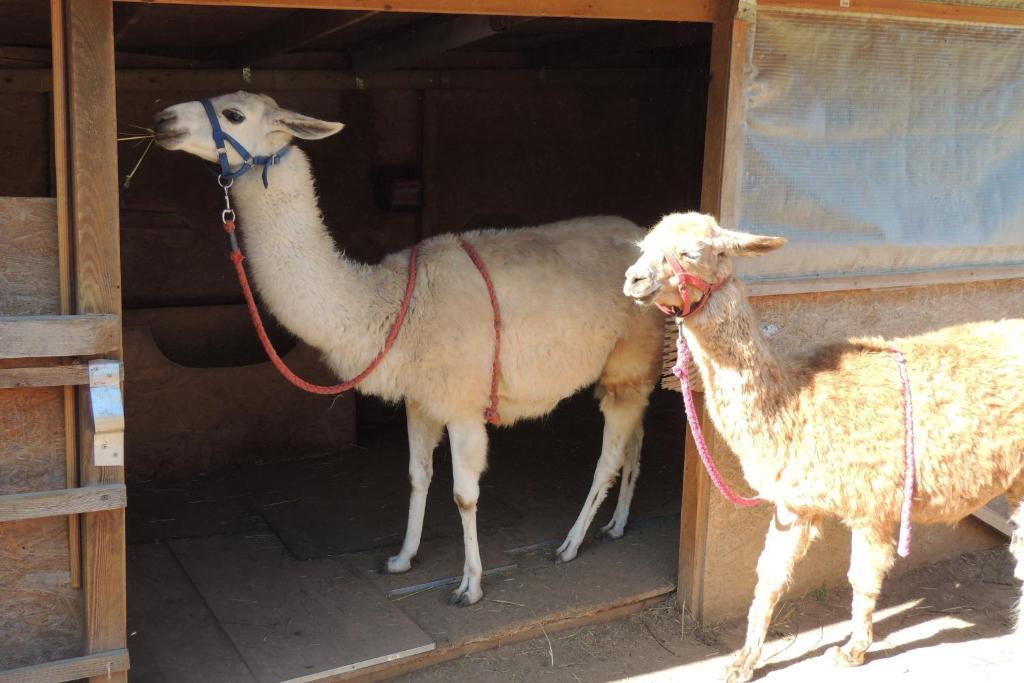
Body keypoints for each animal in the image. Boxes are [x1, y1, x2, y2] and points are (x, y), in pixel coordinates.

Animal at [152, 91, 663, 606]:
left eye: (234, 115)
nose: (162, 120)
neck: (393, 300)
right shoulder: (421, 398)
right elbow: (418, 476)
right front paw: (402, 558)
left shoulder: (462, 402)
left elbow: (464, 495)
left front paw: (470, 586)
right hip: (627, 370)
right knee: (635, 438)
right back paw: (615, 526)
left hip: (629, 359)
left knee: (607, 458)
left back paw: (570, 544)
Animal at [623, 212, 1024, 681]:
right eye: (645, 246)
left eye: (691, 252)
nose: (633, 279)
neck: (797, 402)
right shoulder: (794, 502)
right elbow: (769, 577)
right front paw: (743, 661)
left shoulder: (873, 504)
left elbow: (861, 579)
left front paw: (853, 650)